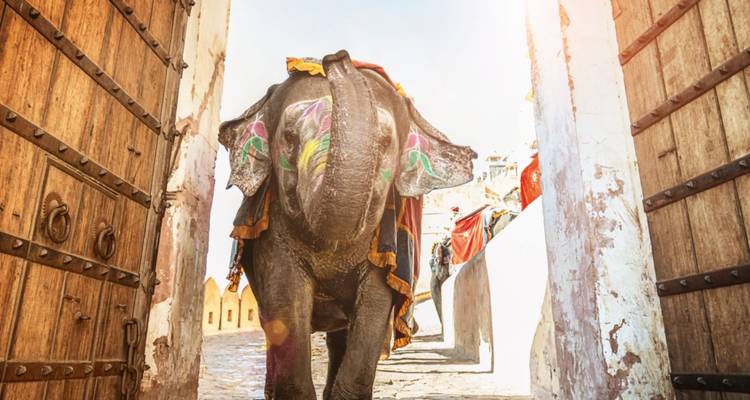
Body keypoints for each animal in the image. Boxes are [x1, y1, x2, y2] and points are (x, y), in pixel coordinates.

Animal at [218, 50, 476, 399]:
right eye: (289, 138)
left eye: (384, 142)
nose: (336, 57)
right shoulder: (272, 235)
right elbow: (285, 303)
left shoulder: (387, 247)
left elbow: (375, 307)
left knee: (340, 336)